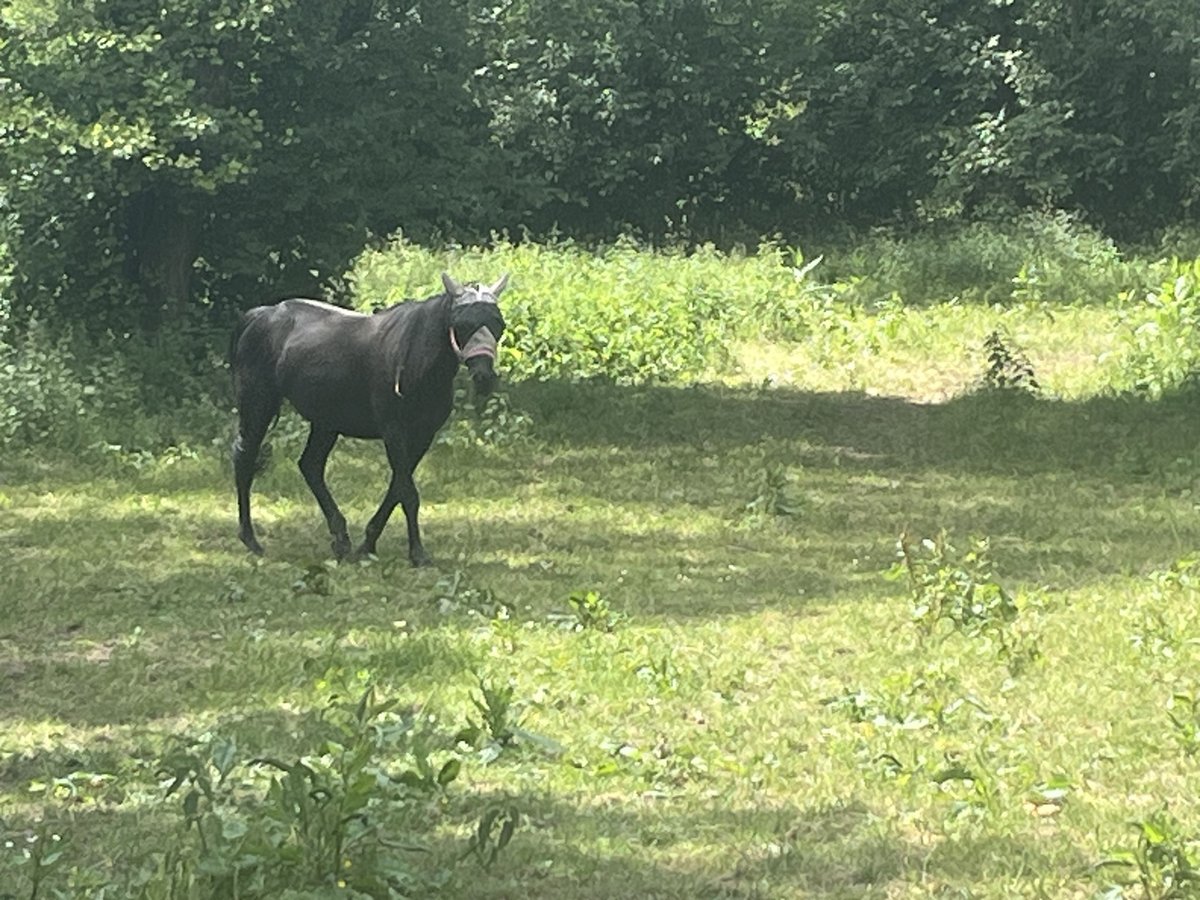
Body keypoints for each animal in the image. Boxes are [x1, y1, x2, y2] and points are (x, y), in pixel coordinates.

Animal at [230, 272, 509, 566]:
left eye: (498, 323)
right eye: (462, 324)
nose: (484, 376)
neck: (414, 358)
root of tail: (260, 315)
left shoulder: (423, 435)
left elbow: (397, 488)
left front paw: (368, 544)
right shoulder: (394, 431)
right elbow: (408, 492)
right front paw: (417, 554)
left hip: (326, 423)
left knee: (310, 466)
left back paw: (341, 540)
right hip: (258, 406)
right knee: (245, 458)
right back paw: (250, 539)